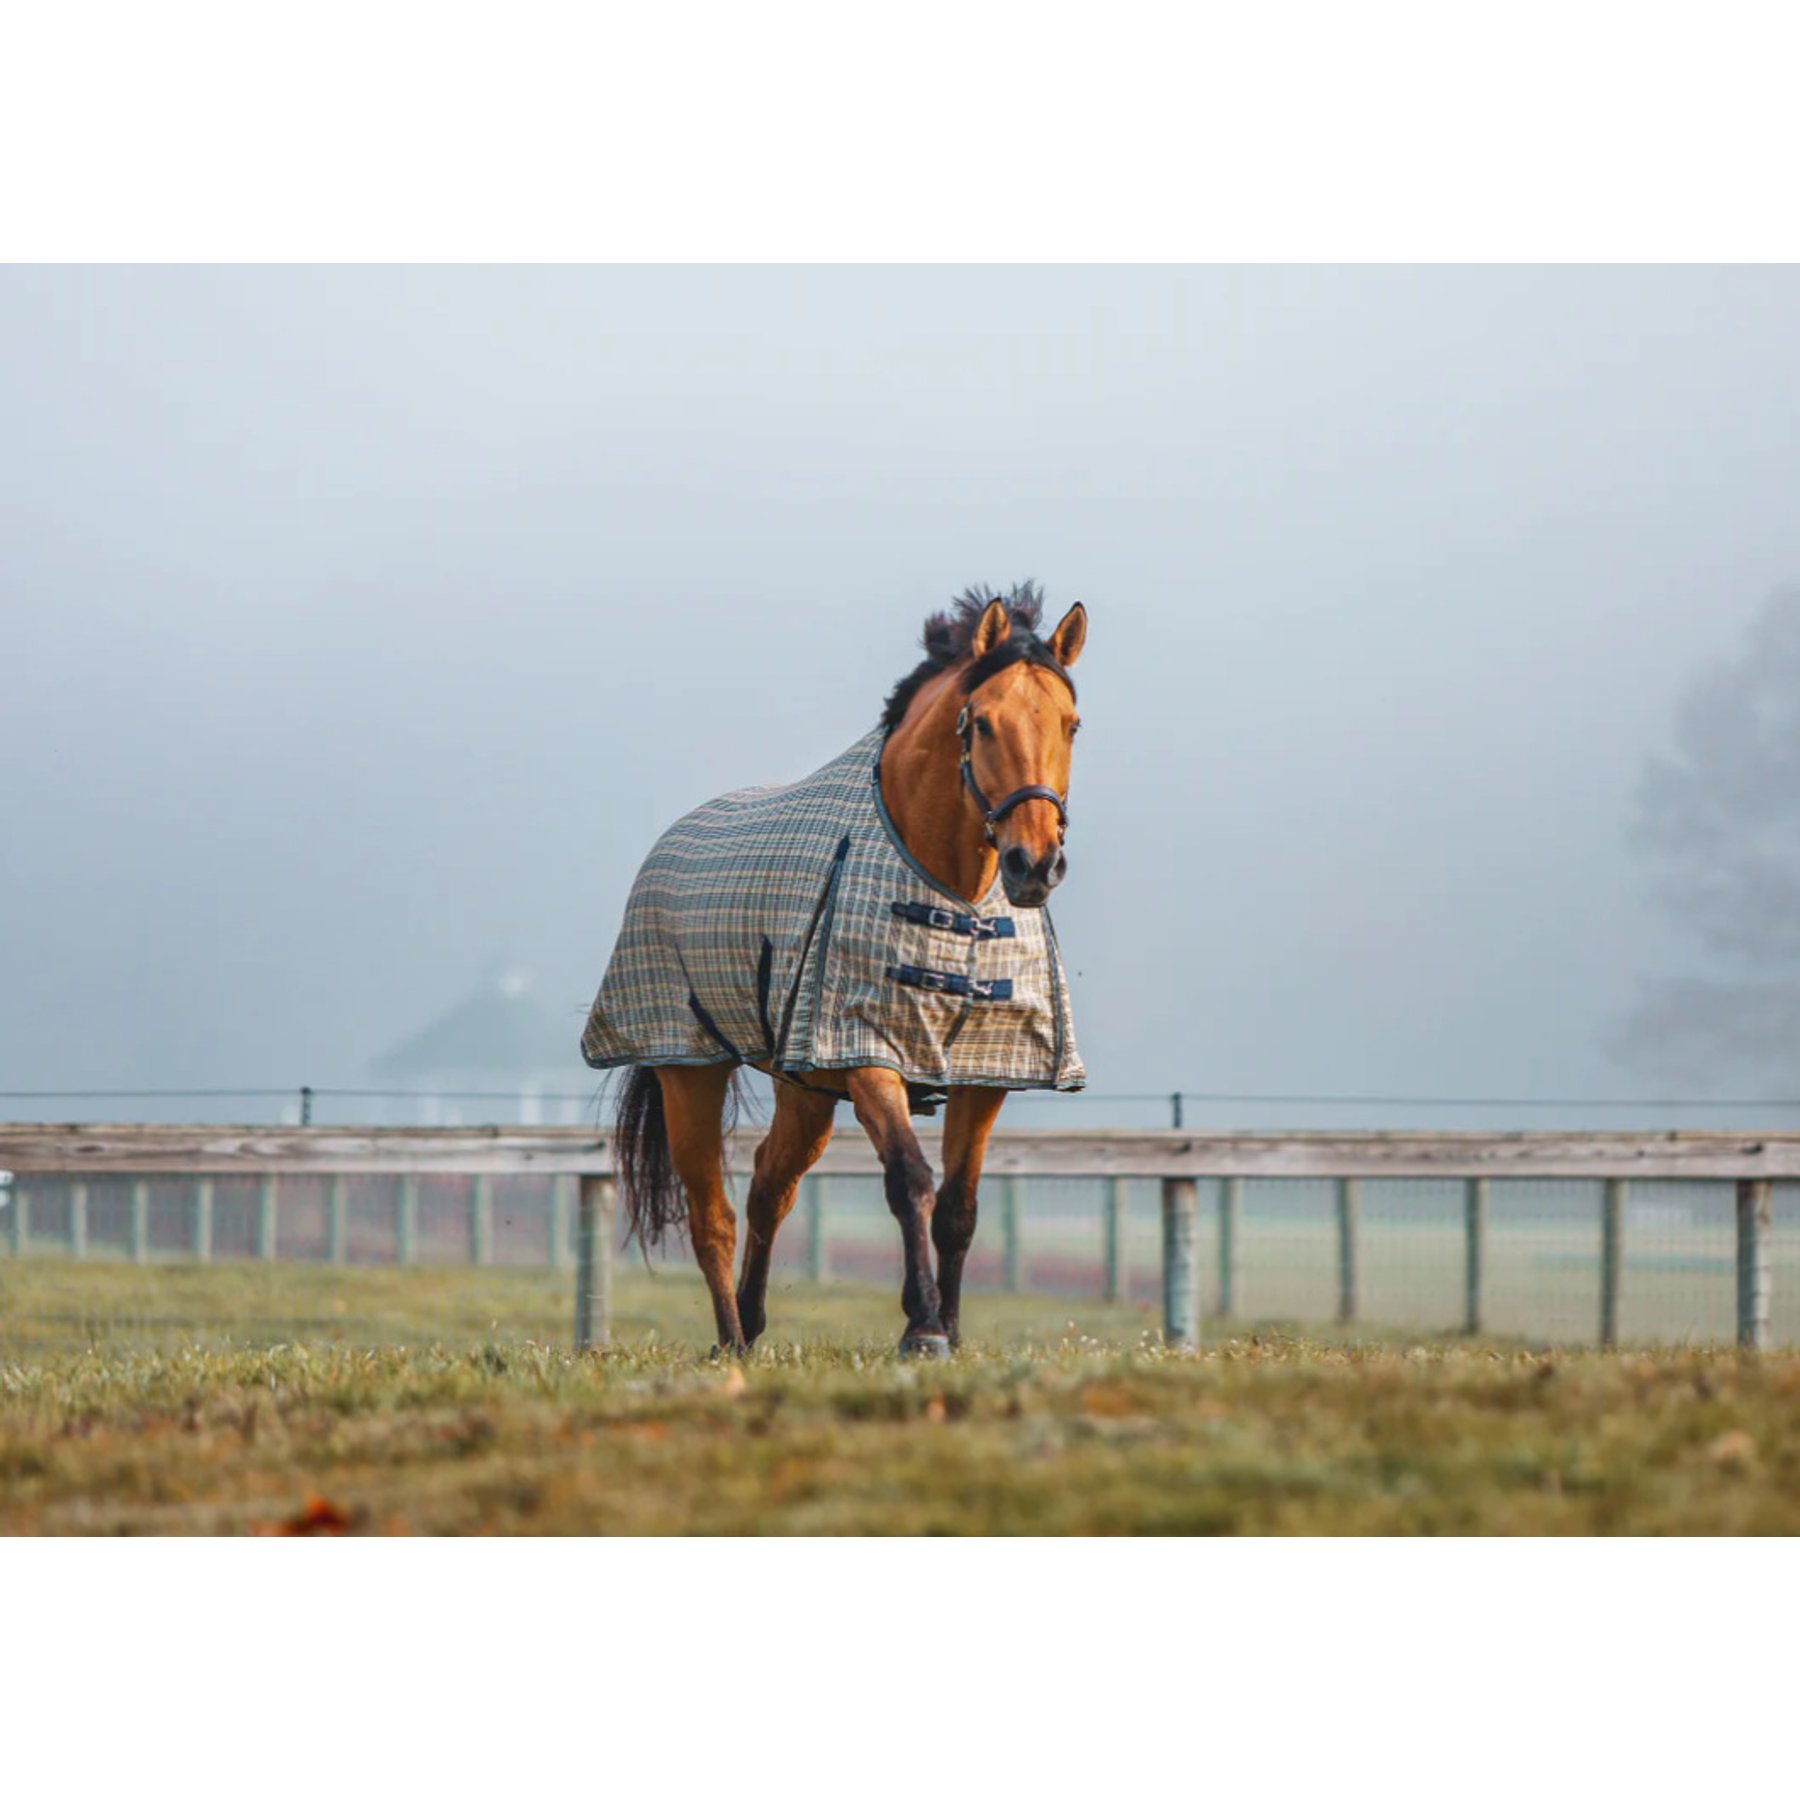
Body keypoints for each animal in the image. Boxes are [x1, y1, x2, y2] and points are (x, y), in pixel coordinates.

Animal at [581, 582, 1087, 1355]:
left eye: (1071, 724)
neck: (951, 890)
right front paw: (922, 1327)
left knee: (770, 1185)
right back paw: (729, 1337)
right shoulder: (867, 1050)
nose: (1035, 864)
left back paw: (751, 1325)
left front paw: (951, 1329)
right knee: (712, 1215)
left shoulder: (984, 1073)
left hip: (808, 1091)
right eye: (981, 724)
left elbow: (960, 1207)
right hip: (689, 1069)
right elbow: (910, 1180)